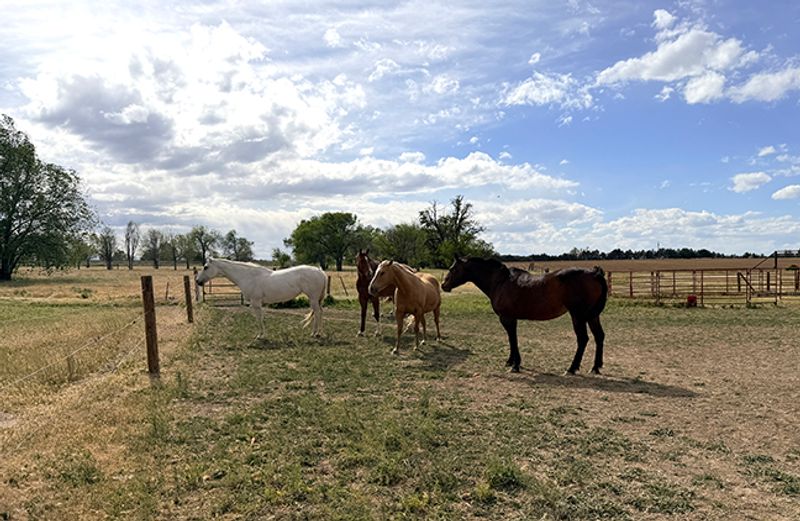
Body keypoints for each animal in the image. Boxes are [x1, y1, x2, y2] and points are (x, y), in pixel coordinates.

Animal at [195, 258, 327, 338]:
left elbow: (259, 319)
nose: (198, 281)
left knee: (317, 313)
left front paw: (260, 335)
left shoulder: (256, 303)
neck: (248, 276)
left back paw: (314, 333)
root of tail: (320, 271)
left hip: (313, 298)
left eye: (206, 267)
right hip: (316, 300)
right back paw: (318, 333)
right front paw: (262, 334)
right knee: (319, 312)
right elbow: (261, 318)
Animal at [441, 257, 607, 375]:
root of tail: (594, 273)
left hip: (578, 316)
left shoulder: (507, 318)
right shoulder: (511, 319)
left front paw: (515, 365)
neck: (500, 282)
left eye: (453, 269)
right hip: (592, 316)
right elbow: (511, 339)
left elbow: (513, 339)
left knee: (583, 339)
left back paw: (572, 368)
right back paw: (595, 367)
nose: (443, 285)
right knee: (599, 336)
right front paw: (510, 361)